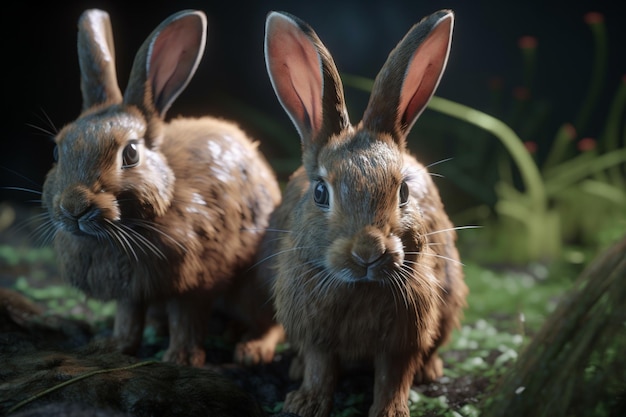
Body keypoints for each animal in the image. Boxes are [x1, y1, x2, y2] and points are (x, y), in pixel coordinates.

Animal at [40, 8, 282, 368]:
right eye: (57, 152)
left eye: (130, 154)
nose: (73, 208)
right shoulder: (132, 291)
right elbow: (128, 317)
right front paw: (112, 346)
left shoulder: (193, 281)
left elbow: (186, 318)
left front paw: (181, 358)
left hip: (251, 288)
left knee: (272, 321)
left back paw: (251, 350)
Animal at [260, 7, 466, 416]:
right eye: (320, 192)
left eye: (404, 191)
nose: (369, 252)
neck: (361, 287)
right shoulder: (315, 333)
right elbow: (320, 367)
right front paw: (305, 404)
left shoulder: (403, 337)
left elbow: (392, 377)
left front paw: (392, 411)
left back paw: (430, 370)